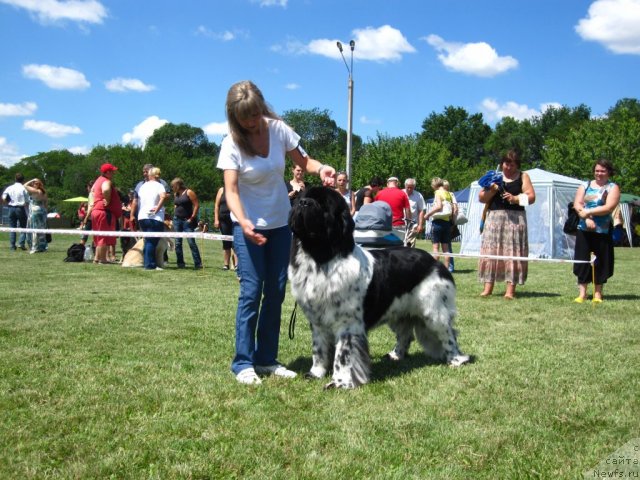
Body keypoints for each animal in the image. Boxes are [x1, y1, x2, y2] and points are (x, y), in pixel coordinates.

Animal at [288, 186, 470, 388]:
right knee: (405, 334)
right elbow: (319, 349)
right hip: (400, 312)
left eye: (323, 203)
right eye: (302, 198)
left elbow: (343, 355)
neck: (321, 258)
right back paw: (396, 355)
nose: (304, 203)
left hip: (434, 311)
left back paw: (457, 360)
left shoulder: (348, 323)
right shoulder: (318, 320)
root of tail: (434, 261)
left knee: (448, 334)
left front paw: (340, 382)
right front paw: (315, 373)